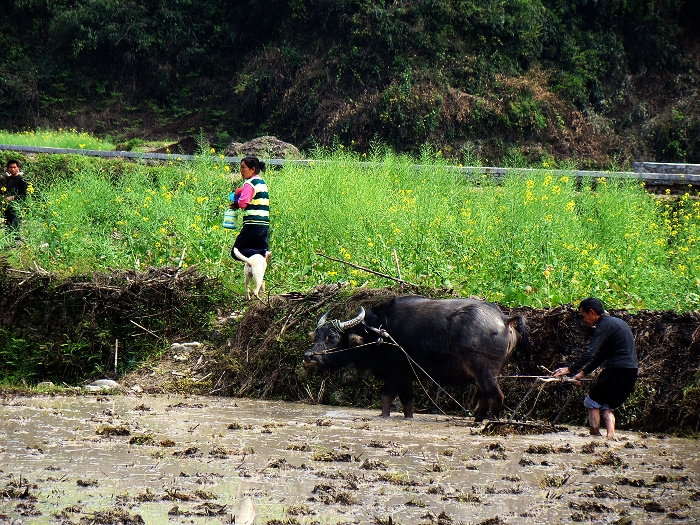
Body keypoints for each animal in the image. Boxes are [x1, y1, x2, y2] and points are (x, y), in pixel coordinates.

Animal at [304, 294, 528, 422]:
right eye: (317, 335)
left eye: (332, 337)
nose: (308, 356)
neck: (380, 332)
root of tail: (504, 319)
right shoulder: (391, 374)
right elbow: (386, 398)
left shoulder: (402, 374)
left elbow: (407, 402)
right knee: (484, 397)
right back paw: (477, 422)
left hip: (485, 370)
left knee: (495, 396)